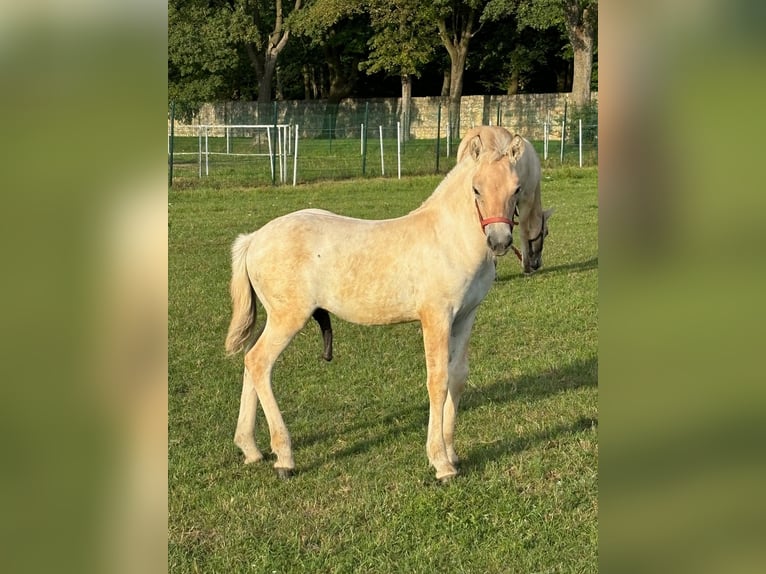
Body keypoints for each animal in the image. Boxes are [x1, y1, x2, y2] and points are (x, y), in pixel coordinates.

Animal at [225, 126, 526, 482]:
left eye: (517, 188)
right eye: (476, 189)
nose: (500, 241)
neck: (448, 239)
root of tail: (254, 239)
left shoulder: (465, 317)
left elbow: (457, 377)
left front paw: (452, 453)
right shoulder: (436, 317)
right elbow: (437, 381)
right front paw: (440, 463)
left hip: (275, 317)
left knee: (249, 360)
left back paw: (250, 448)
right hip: (288, 317)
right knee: (259, 362)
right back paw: (284, 457)